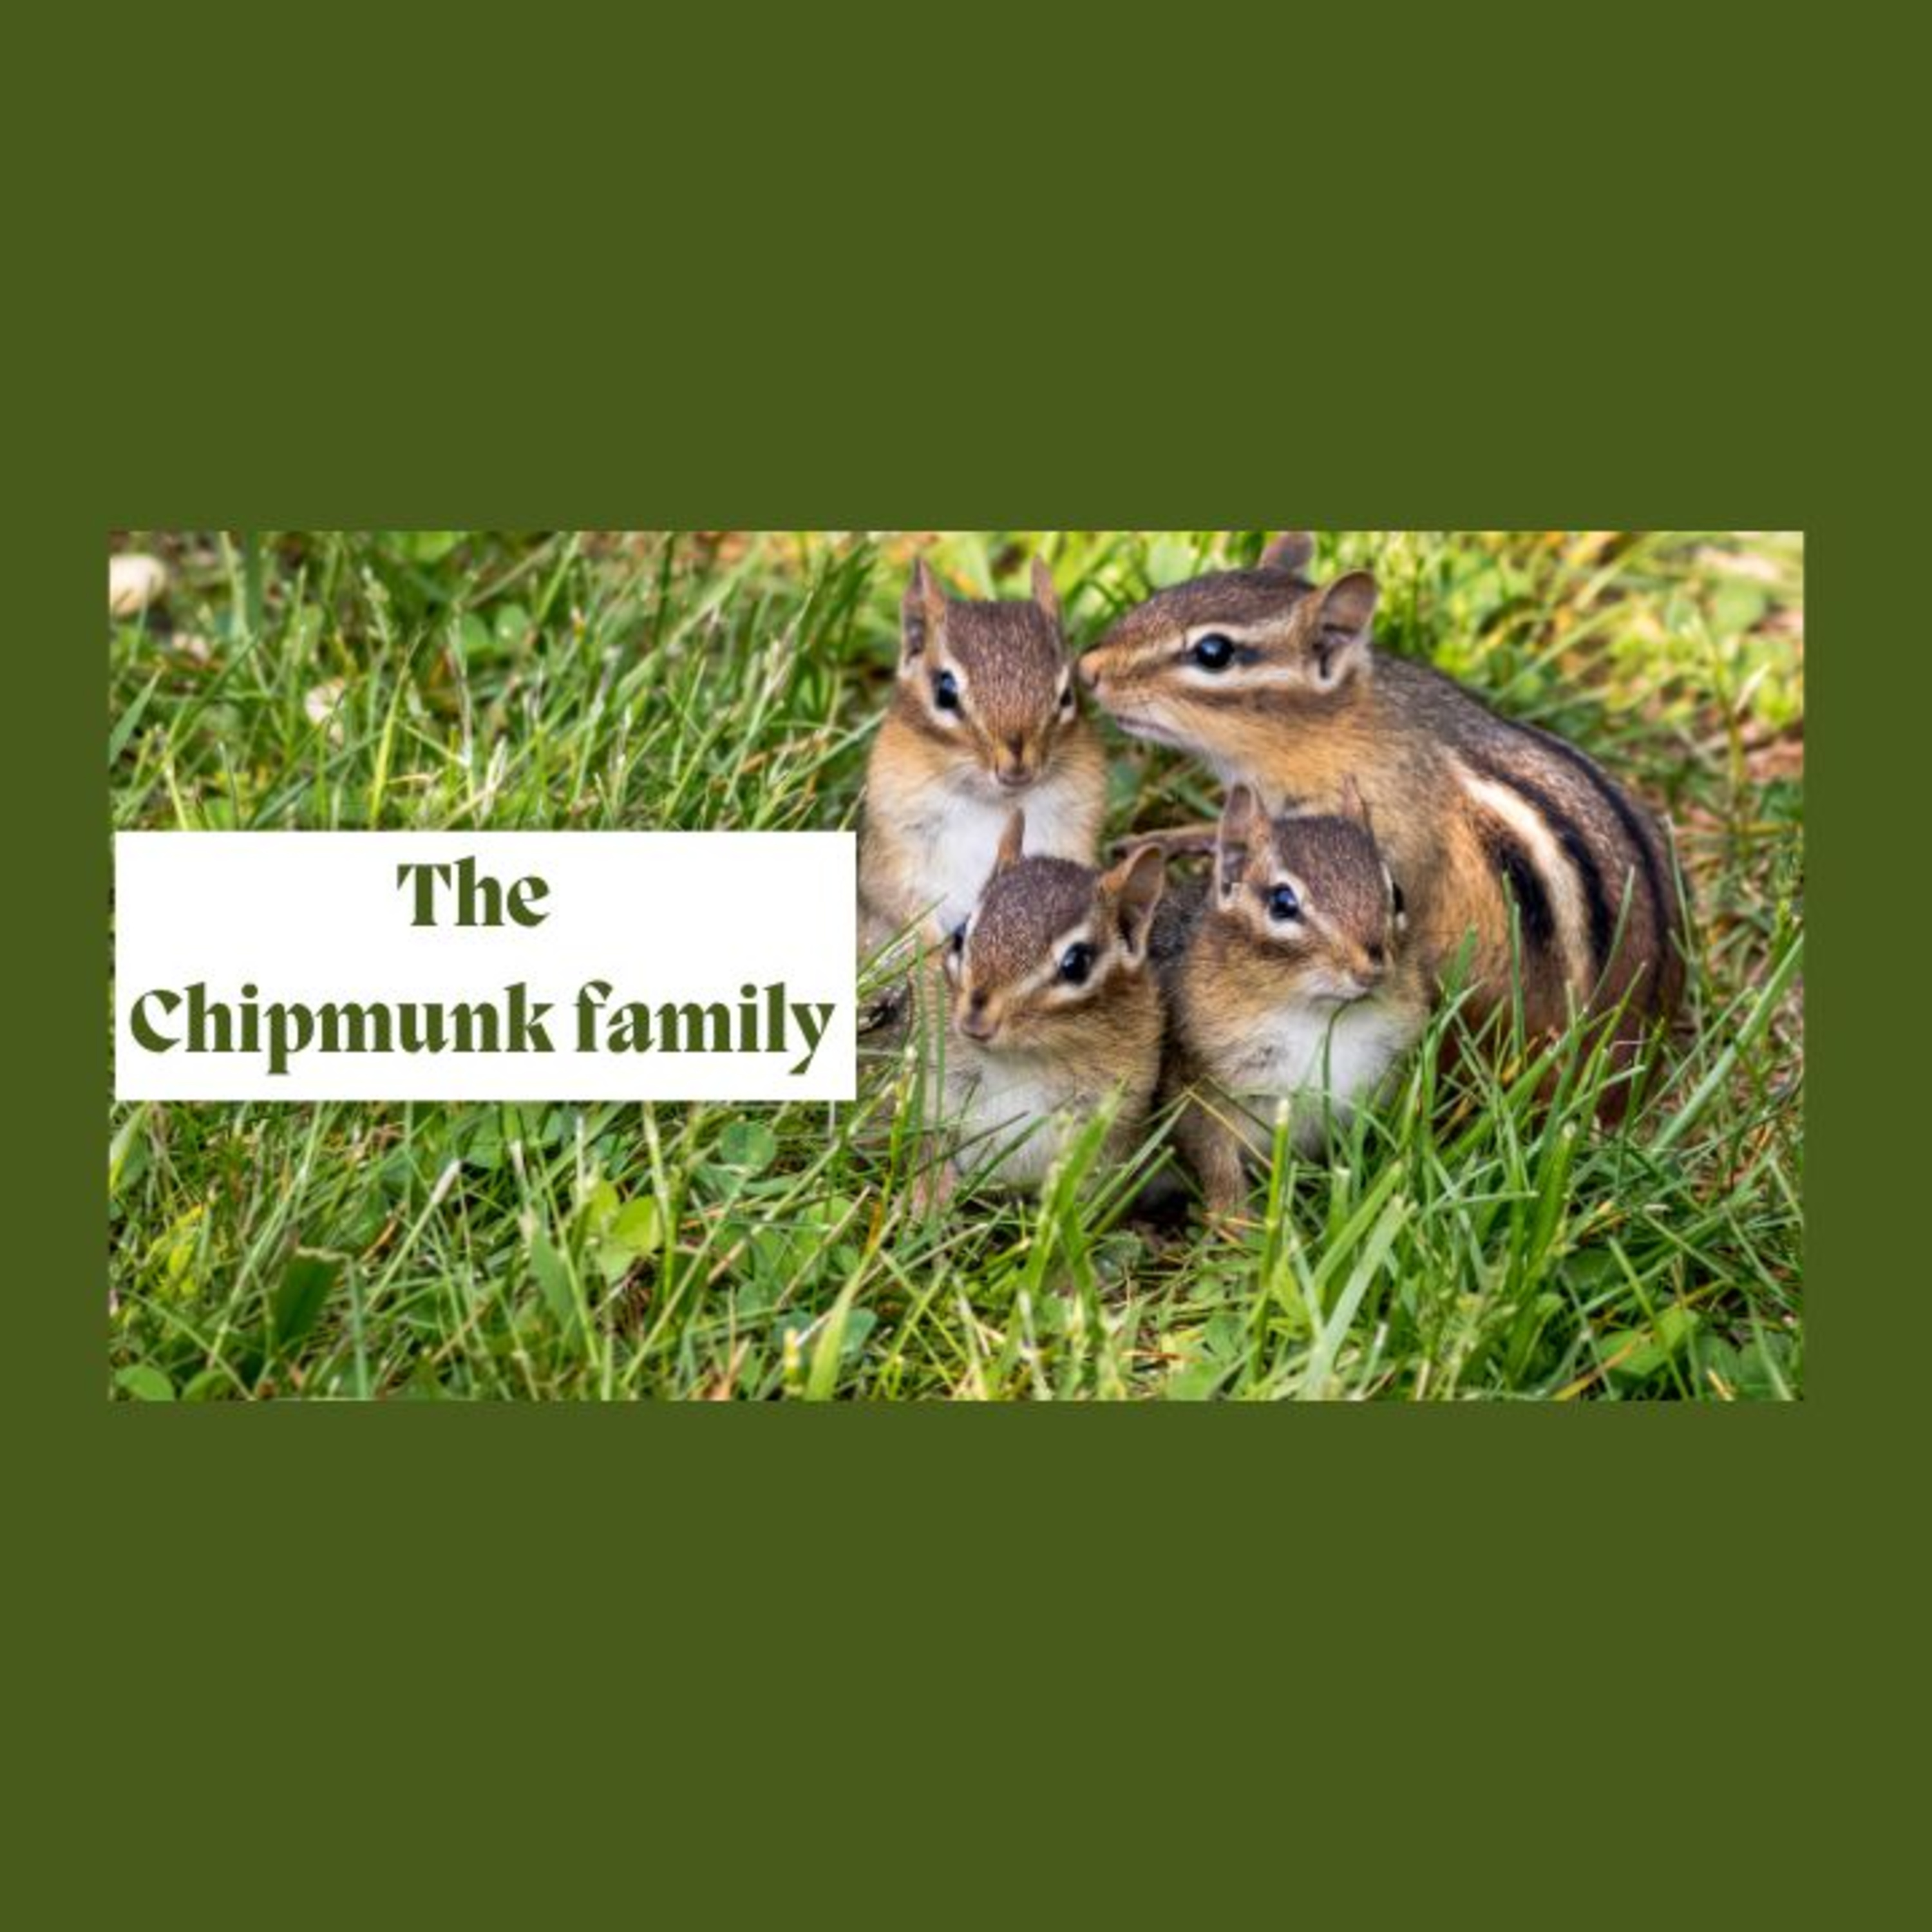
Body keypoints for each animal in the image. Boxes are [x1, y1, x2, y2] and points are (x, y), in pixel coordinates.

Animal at [860, 555, 1108, 964]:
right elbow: (908, 916)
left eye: (1067, 696)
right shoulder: (899, 849)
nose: (1016, 762)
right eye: (945, 691)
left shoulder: (1073, 832)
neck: (993, 804)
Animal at [918, 809, 1166, 1201]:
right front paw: (929, 1197)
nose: (975, 1022)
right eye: (958, 937)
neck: (1021, 1061)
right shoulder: (935, 1091)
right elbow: (928, 1146)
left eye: (1076, 964)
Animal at [1153, 781, 1428, 1215]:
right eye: (1282, 903)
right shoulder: (1197, 1097)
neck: (1318, 1018)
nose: (1371, 969)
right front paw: (1239, 1223)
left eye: (1397, 894)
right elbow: (1217, 1166)